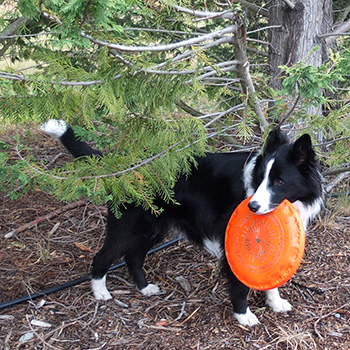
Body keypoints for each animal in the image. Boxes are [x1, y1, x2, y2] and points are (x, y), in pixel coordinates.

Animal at [39, 119, 324, 326]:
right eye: (261, 177)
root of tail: (125, 166)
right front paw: (244, 315)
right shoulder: (233, 242)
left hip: (152, 228)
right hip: (128, 227)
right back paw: (100, 292)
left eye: (279, 181)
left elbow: (271, 277)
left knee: (133, 257)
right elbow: (239, 284)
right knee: (103, 256)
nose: (252, 206)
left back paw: (144, 288)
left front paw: (275, 303)